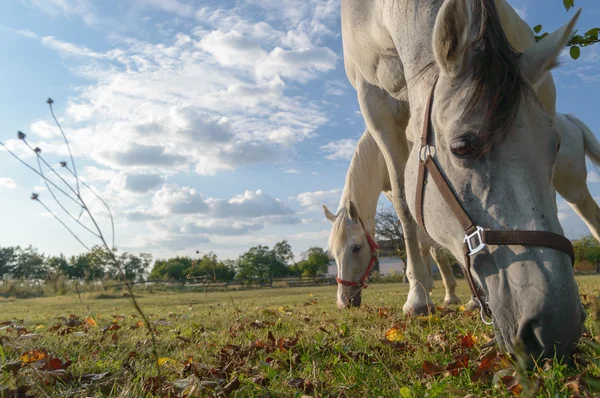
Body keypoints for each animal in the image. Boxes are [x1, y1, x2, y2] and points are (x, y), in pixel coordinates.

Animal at [338, 0, 584, 360]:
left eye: (555, 146)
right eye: (462, 147)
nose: (557, 328)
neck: (376, 15)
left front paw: (432, 293)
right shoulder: (376, 107)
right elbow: (407, 209)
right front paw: (420, 297)